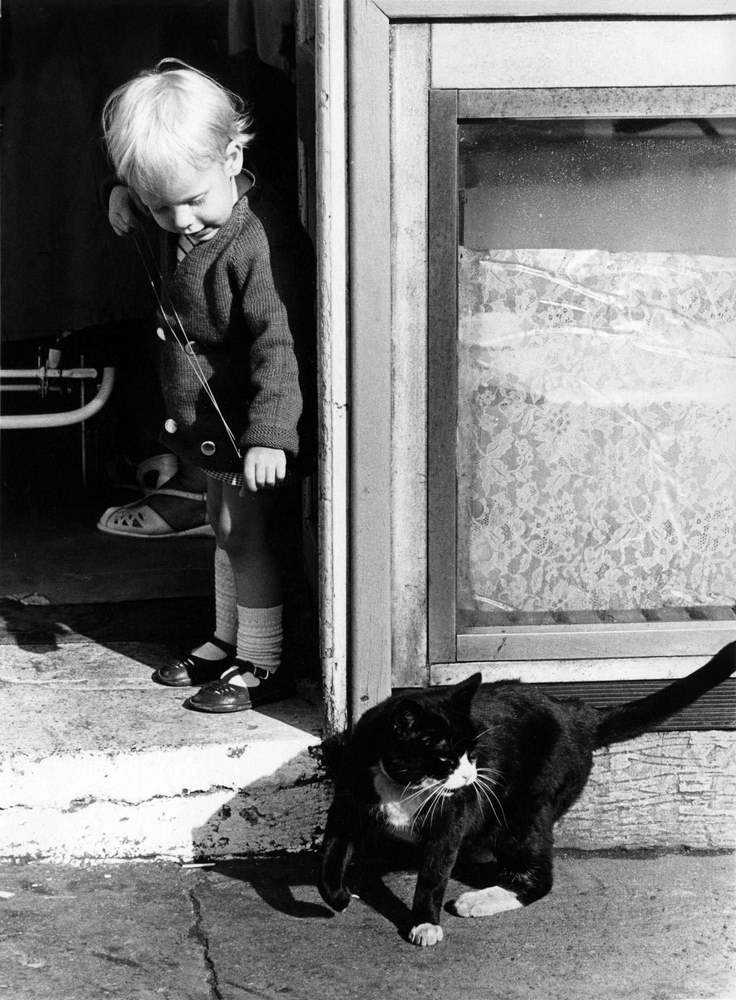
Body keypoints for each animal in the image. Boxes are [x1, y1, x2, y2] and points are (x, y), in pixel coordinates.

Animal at [320, 640, 732, 944]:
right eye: (445, 757)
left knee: (539, 878)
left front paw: (424, 923)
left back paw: (478, 900)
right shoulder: (347, 801)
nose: (471, 777)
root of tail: (577, 712)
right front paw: (337, 896)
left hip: (523, 811)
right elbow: (331, 853)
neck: (403, 786)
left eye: (473, 752)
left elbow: (434, 872)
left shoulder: (452, 817)